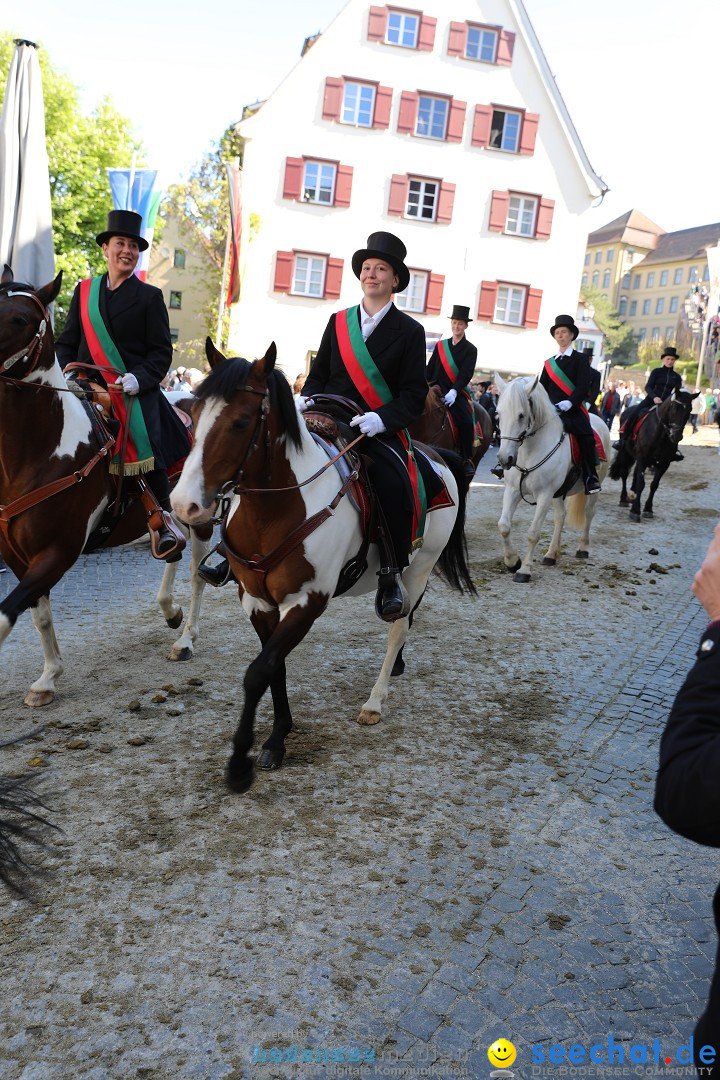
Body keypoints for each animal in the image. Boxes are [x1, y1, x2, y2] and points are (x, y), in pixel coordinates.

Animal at [0, 267, 212, 708]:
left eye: (19, 319)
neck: (40, 450)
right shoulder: (16, 555)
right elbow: (37, 613)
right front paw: (48, 676)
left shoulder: (58, 552)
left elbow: (8, 614)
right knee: (173, 548)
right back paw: (169, 608)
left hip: (204, 517)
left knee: (198, 571)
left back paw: (186, 639)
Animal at [172, 345, 479, 794]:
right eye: (192, 415)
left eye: (241, 421)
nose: (184, 504)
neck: (276, 510)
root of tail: (436, 455)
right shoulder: (257, 601)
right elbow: (273, 666)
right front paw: (278, 738)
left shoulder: (307, 601)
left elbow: (258, 671)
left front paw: (241, 762)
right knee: (408, 614)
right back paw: (398, 665)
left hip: (419, 565)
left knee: (399, 621)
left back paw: (376, 698)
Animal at [496, 375, 608, 587]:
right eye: (498, 415)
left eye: (521, 415)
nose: (505, 459)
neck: (529, 450)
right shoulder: (512, 490)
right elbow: (504, 527)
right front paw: (512, 561)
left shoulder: (544, 495)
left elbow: (533, 534)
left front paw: (524, 570)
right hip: (558, 493)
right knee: (560, 516)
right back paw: (551, 554)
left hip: (593, 487)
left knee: (589, 513)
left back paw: (583, 548)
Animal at [608, 390, 699, 520]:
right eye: (674, 408)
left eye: (690, 410)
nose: (676, 436)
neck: (660, 434)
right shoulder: (642, 457)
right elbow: (641, 483)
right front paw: (635, 511)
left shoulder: (664, 463)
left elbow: (654, 484)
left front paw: (647, 509)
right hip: (626, 452)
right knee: (624, 473)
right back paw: (624, 499)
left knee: (635, 473)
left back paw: (632, 495)